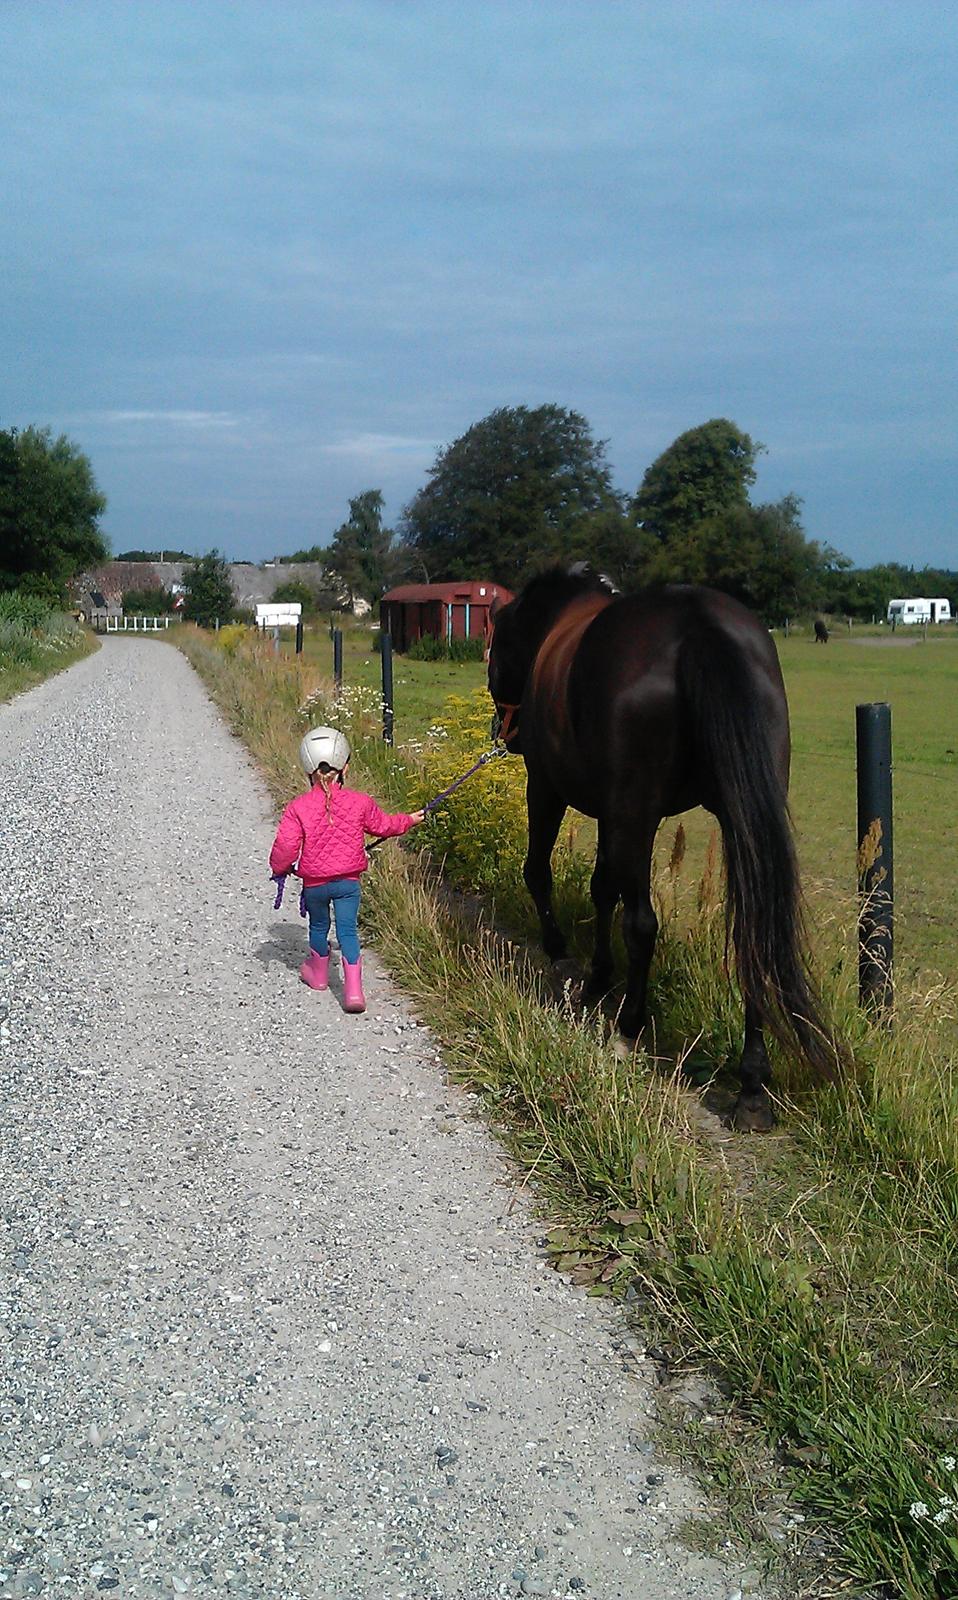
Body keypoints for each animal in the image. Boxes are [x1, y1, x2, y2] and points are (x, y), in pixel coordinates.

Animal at [492, 569, 838, 1132]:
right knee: (750, 935)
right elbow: (602, 889)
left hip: (634, 812)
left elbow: (542, 872)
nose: (506, 732)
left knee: (641, 924)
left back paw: (629, 1027)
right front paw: (597, 977)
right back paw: (752, 1088)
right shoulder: (611, 813)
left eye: (495, 651)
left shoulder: (549, 788)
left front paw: (565, 956)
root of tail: (699, 625)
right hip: (729, 814)